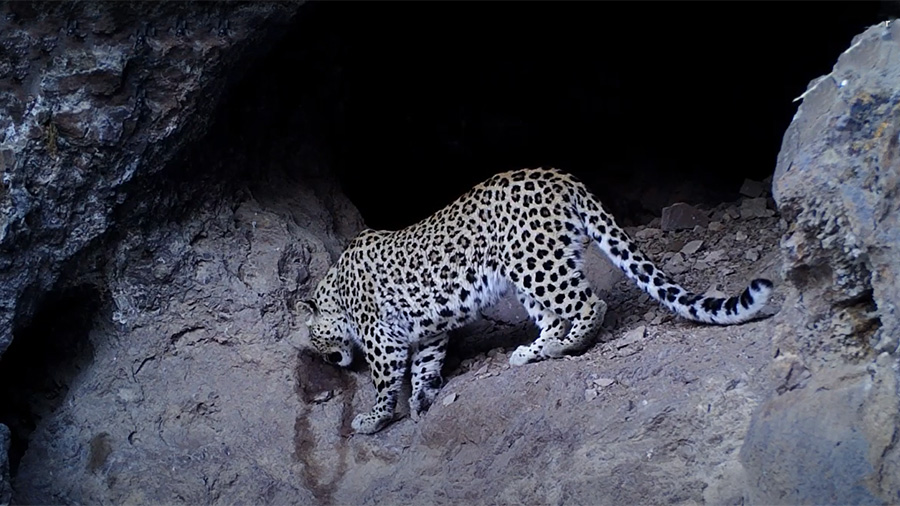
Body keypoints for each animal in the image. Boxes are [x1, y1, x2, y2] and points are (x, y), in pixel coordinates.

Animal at [297, 167, 773, 434]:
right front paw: (421, 401)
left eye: (317, 344)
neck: (336, 290)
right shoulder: (429, 333)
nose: (334, 362)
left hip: (533, 263)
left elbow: (384, 383)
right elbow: (425, 367)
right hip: (535, 268)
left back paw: (567, 345)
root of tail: (561, 177)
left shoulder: (382, 340)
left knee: (588, 304)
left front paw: (373, 419)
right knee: (554, 316)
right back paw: (533, 351)